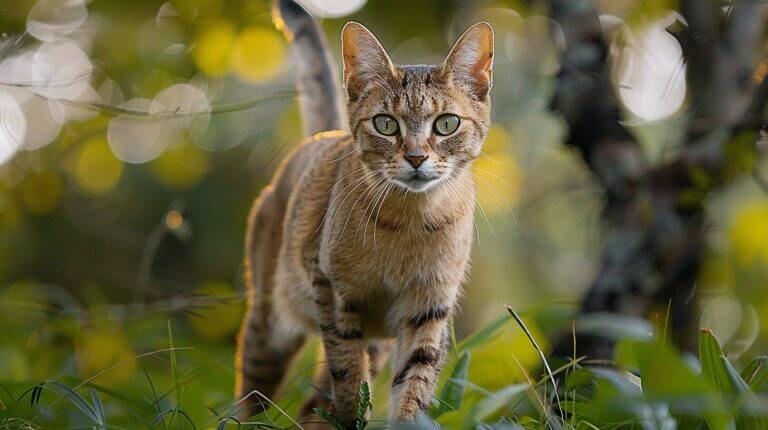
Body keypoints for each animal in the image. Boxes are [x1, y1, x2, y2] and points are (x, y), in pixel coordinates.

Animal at [237, 0, 496, 424]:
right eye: (385, 124)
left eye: (446, 124)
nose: (416, 158)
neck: (409, 223)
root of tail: (324, 135)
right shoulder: (333, 292)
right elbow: (346, 378)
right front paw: (349, 416)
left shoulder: (429, 309)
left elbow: (414, 387)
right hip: (270, 323)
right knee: (251, 392)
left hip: (377, 342)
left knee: (312, 405)